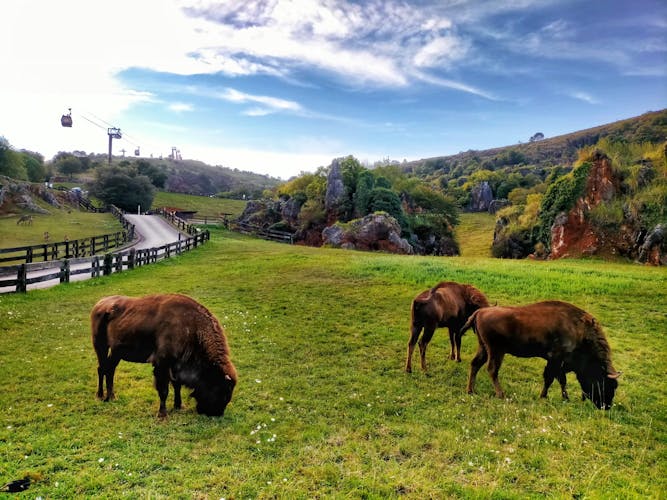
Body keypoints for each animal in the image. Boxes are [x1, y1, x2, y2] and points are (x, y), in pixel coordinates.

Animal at [91, 292, 237, 418]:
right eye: (221, 391)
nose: (216, 413)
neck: (191, 328)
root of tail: (99, 304)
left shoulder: (175, 365)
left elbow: (176, 385)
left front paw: (178, 406)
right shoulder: (162, 364)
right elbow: (164, 390)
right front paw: (162, 414)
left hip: (116, 352)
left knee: (109, 369)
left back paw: (111, 397)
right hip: (100, 346)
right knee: (102, 368)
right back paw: (100, 396)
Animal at [464, 300, 620, 410]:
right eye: (603, 382)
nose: (605, 406)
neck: (580, 331)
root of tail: (480, 312)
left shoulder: (559, 363)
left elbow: (561, 380)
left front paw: (565, 398)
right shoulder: (555, 359)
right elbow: (550, 378)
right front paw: (543, 397)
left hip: (484, 348)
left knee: (475, 364)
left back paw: (471, 391)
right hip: (496, 351)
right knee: (492, 370)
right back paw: (501, 394)